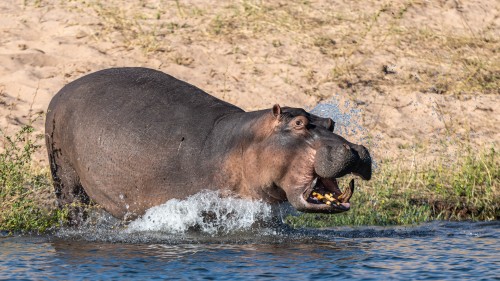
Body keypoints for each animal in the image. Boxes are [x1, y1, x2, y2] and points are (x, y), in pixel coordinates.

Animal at [44, 66, 372, 220]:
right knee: (71, 205)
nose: (355, 150)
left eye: (330, 123)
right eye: (299, 123)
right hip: (64, 174)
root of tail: (62, 89)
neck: (243, 141)